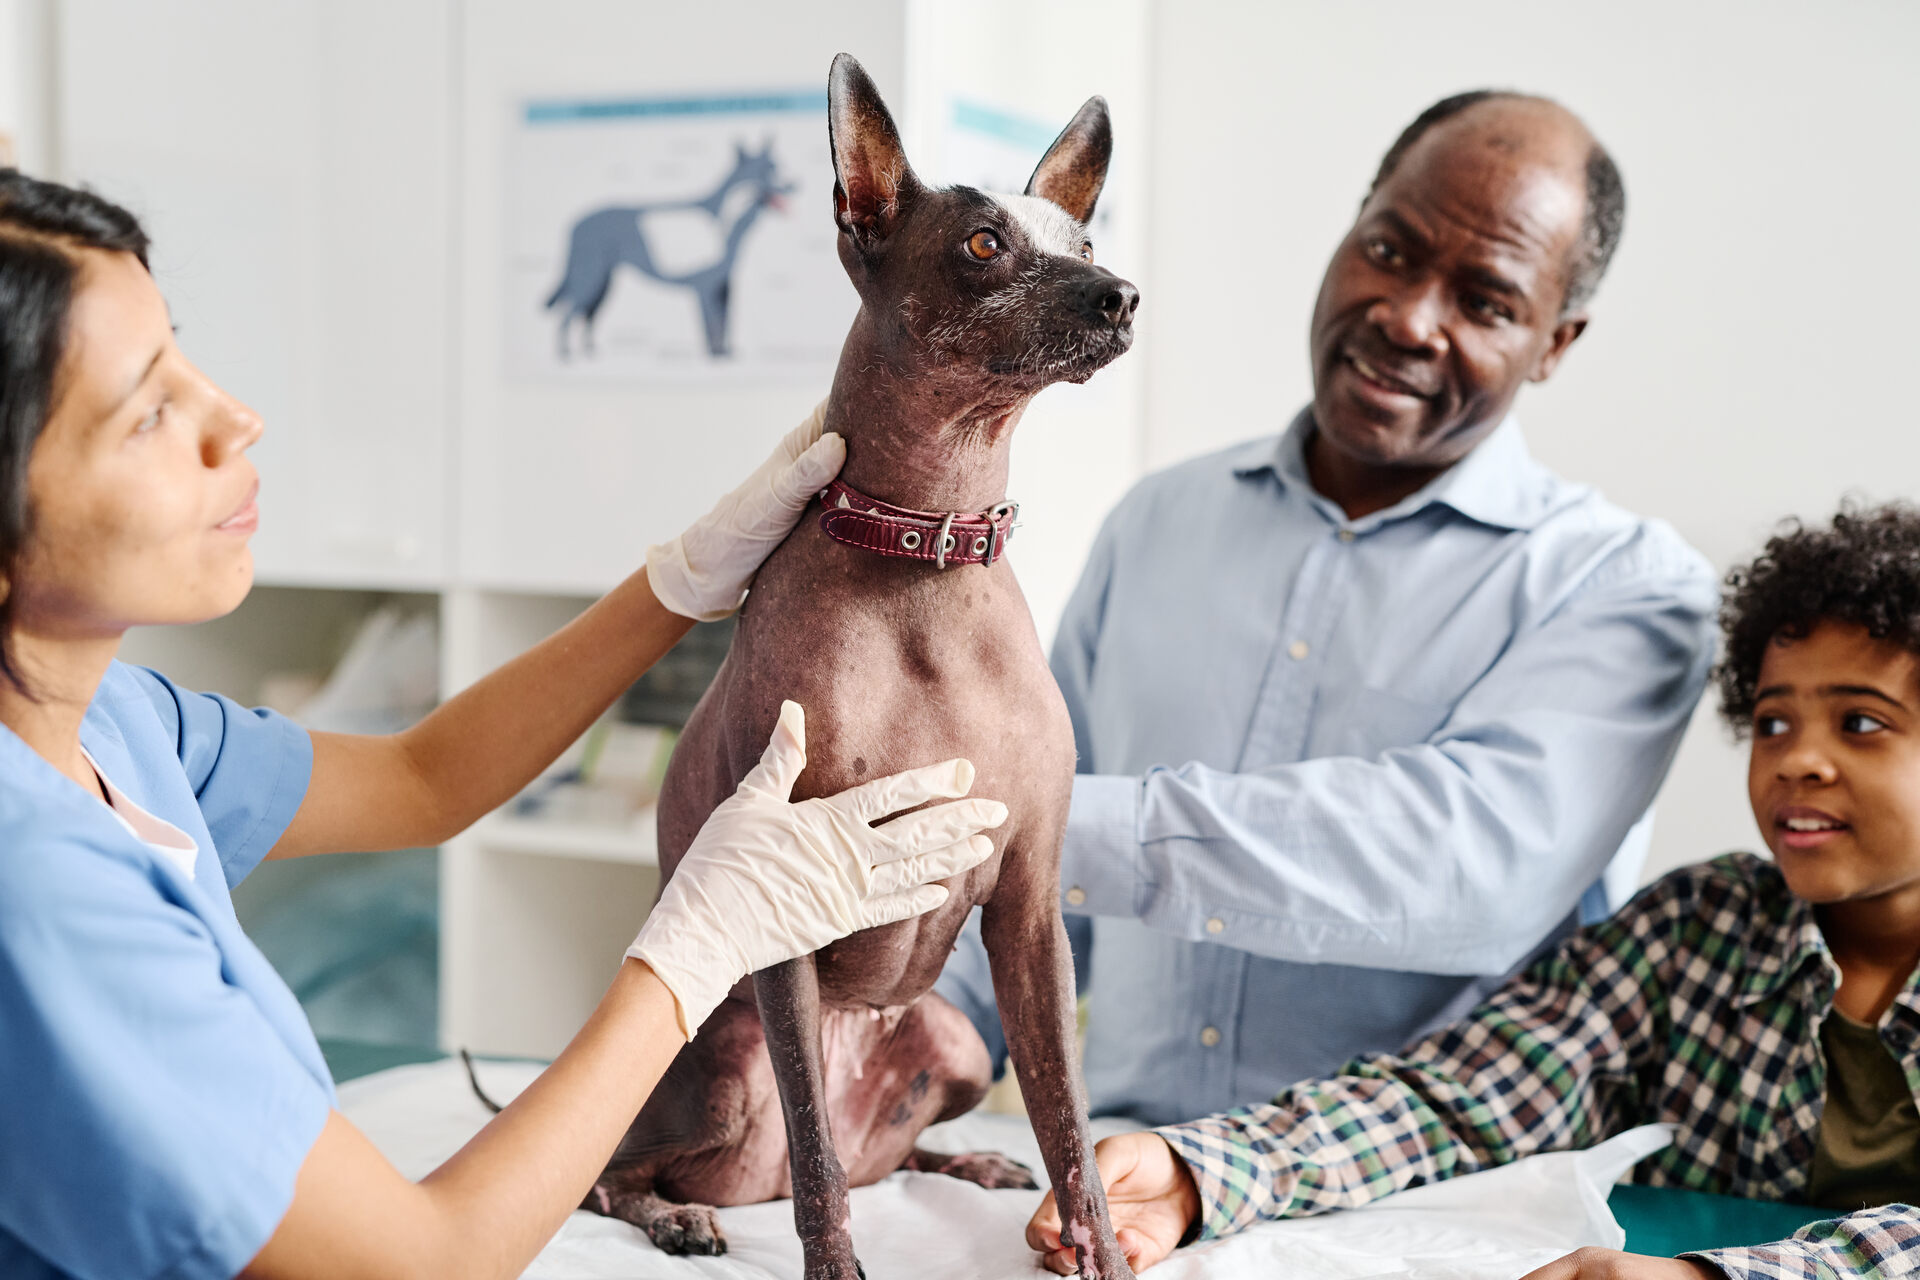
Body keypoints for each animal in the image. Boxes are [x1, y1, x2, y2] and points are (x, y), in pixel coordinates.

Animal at [583, 52, 1136, 1280]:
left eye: (1081, 241)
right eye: (982, 242)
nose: (1122, 294)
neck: (924, 549)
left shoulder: (1030, 907)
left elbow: (1070, 1124)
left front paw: (1102, 1251)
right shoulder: (780, 898)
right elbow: (821, 1168)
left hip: (957, 1035)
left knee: (890, 1152)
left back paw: (965, 1160)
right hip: (718, 1066)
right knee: (633, 1172)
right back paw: (681, 1214)